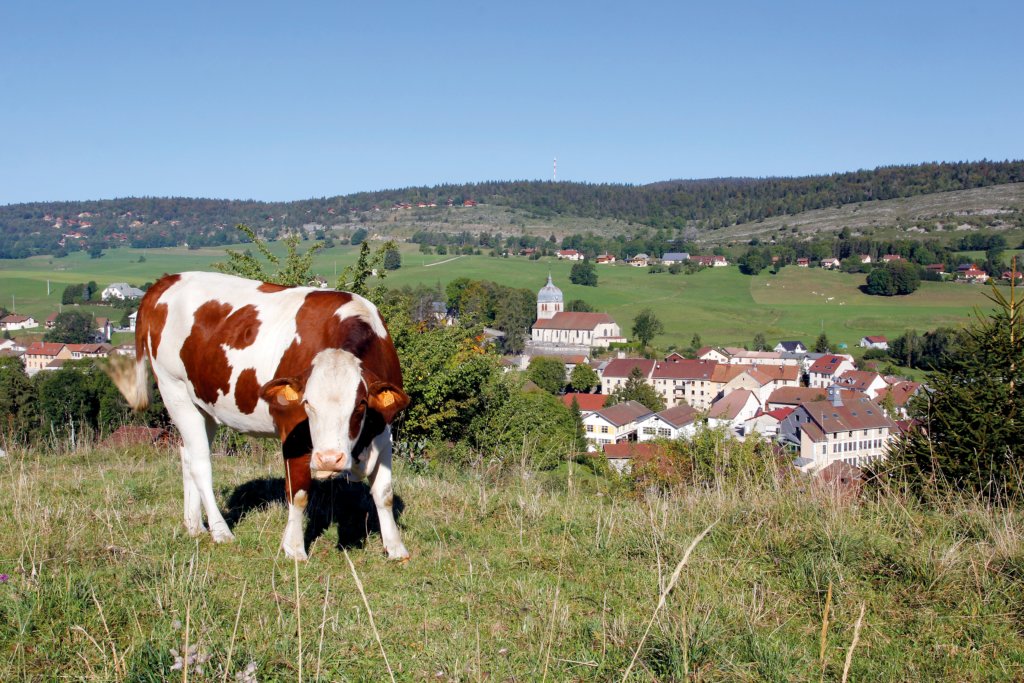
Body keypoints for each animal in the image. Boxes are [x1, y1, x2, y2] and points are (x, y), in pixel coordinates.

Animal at [104, 270, 407, 561]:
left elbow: (384, 493)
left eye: (360, 404)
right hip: (173, 389)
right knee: (201, 463)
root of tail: (168, 280)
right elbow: (298, 492)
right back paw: (220, 531)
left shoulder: (384, 429)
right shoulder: (293, 430)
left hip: (203, 404)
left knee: (187, 454)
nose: (329, 459)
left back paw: (194, 525)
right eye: (307, 403)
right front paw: (294, 549)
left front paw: (395, 548)